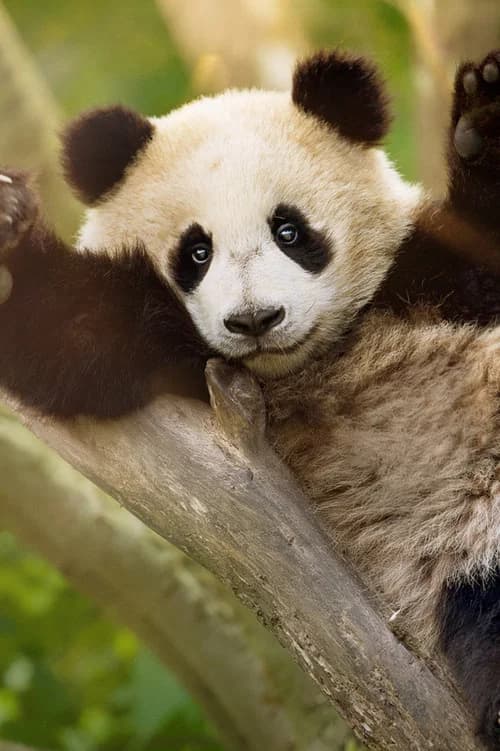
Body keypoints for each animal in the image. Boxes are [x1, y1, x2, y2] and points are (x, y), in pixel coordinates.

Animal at [0, 48, 499, 748]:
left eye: (289, 230)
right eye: (196, 252)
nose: (256, 319)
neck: (307, 362)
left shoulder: (422, 276)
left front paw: (485, 116)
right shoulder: (167, 354)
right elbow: (65, 334)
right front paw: (9, 228)